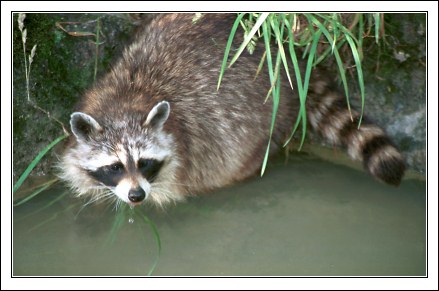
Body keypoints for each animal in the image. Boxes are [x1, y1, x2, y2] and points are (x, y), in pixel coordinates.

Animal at [58, 13, 406, 208]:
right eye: (115, 166)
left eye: (145, 163)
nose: (136, 196)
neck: (128, 99)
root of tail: (287, 53)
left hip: (269, 111)